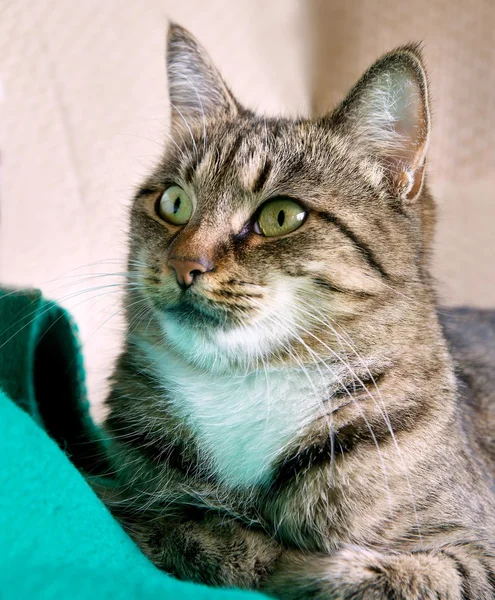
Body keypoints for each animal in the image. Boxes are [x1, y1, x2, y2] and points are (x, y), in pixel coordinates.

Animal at [101, 23, 495, 600]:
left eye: (281, 216)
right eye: (174, 202)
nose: (184, 263)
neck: (247, 380)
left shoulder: (473, 548)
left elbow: (395, 574)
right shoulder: (118, 485)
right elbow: (180, 527)